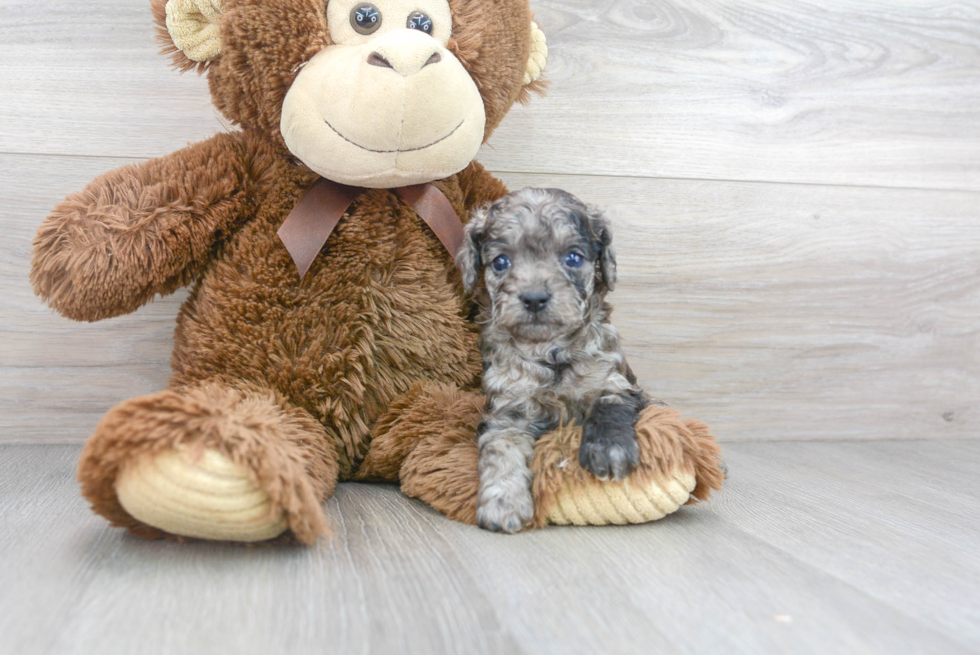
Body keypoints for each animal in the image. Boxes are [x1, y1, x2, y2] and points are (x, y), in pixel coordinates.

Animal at [458, 186, 656, 532]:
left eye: (573, 258)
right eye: (501, 262)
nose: (535, 298)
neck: (549, 351)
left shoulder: (616, 380)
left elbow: (608, 406)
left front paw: (609, 449)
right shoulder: (507, 410)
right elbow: (499, 448)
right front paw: (502, 502)